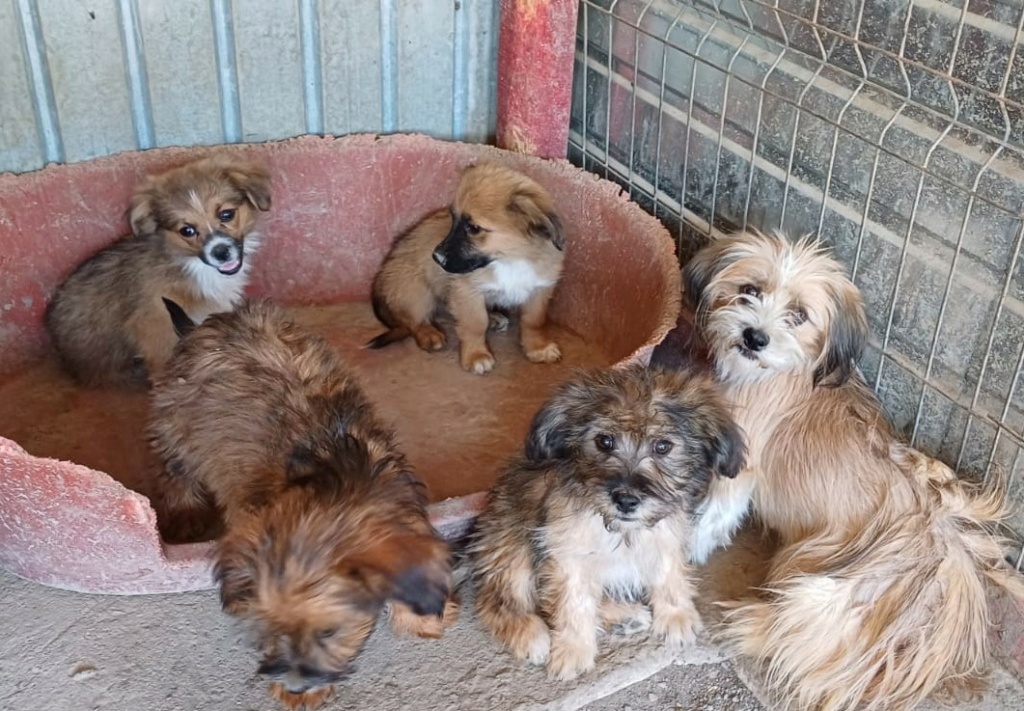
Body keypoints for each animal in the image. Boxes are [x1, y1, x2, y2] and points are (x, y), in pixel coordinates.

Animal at [148, 301, 456, 711]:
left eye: (329, 632)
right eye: (268, 631)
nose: (295, 687)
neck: (338, 479)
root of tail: (205, 326)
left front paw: (423, 617)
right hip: (177, 426)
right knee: (176, 473)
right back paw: (184, 517)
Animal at [471, 364, 745, 684]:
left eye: (663, 446)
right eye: (604, 441)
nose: (625, 500)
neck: (620, 529)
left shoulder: (665, 533)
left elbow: (669, 575)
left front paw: (676, 615)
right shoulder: (566, 553)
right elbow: (574, 602)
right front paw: (574, 650)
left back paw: (626, 615)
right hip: (512, 546)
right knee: (496, 601)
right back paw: (531, 634)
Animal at [684, 231, 1024, 711]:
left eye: (799, 315)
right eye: (749, 290)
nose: (754, 337)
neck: (790, 372)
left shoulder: (738, 473)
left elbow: (711, 520)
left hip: (818, 591)